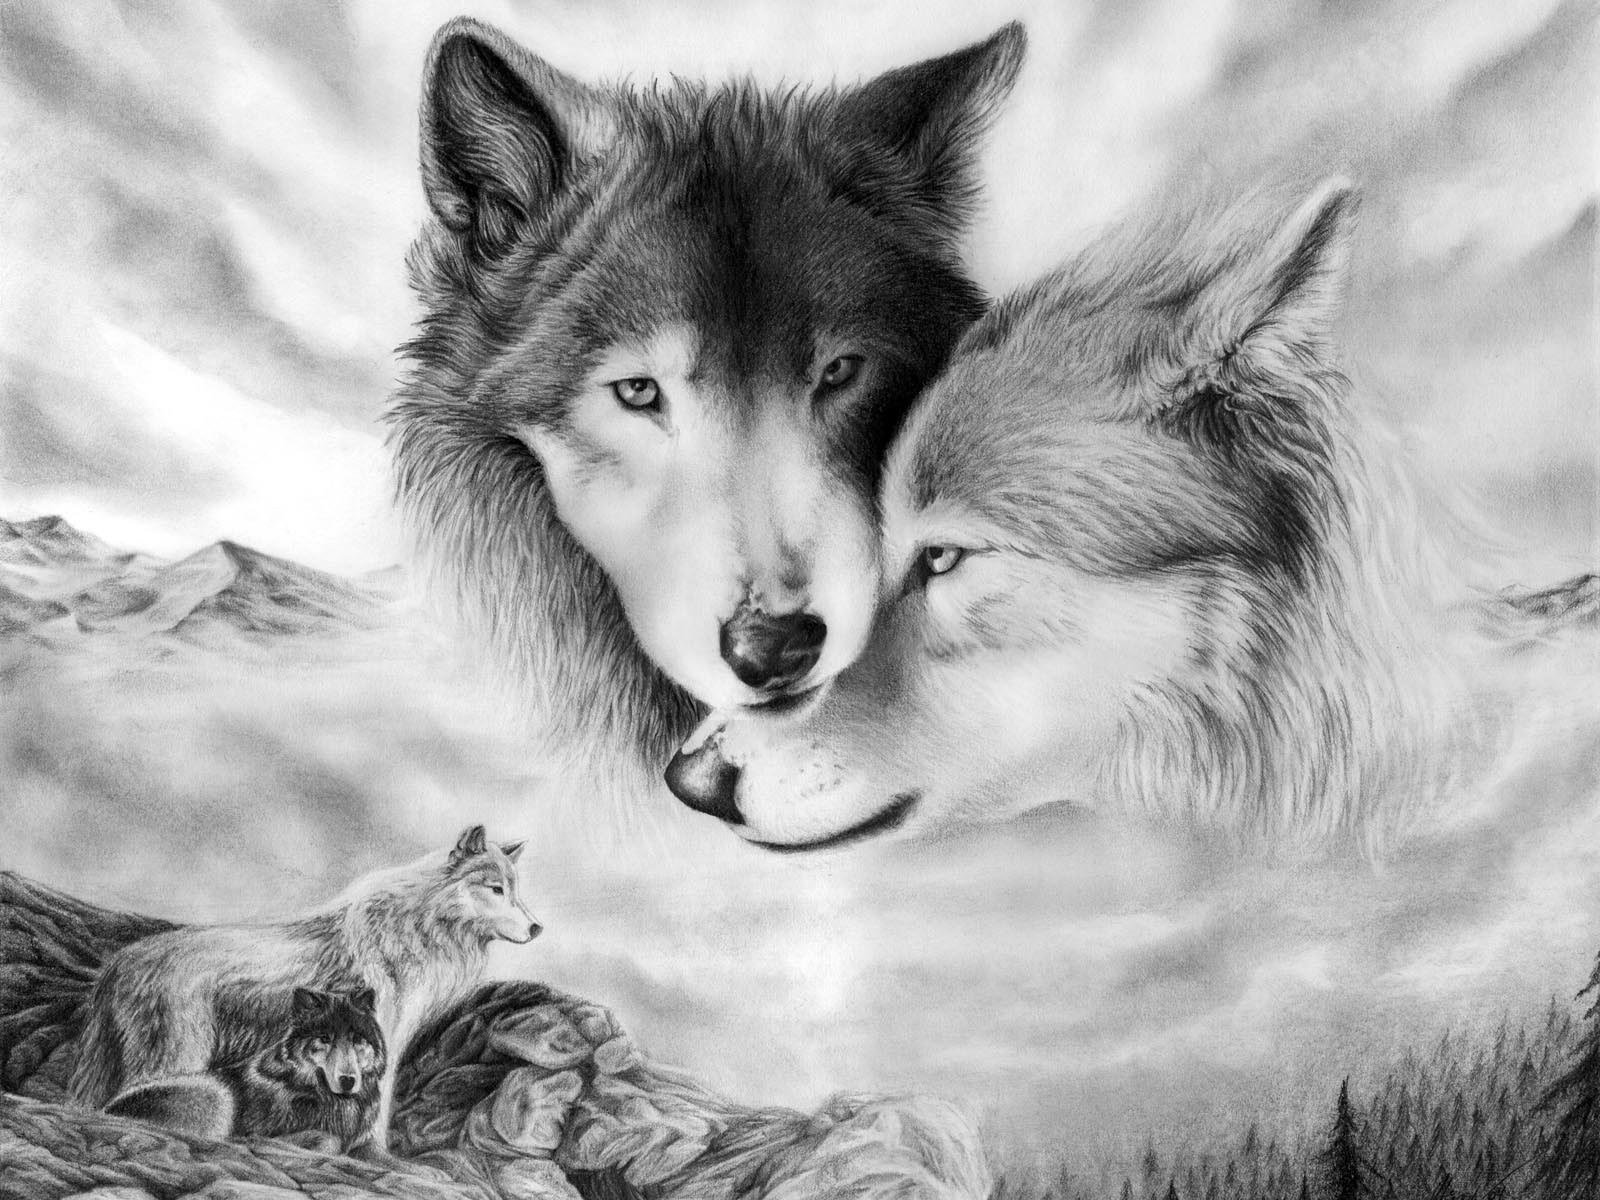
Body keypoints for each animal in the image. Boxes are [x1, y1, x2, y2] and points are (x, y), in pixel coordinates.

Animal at [102, 985, 386, 1153]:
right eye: (325, 1038)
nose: (348, 1080)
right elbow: (329, 1140)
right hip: (217, 1094)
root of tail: (106, 1109)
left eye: (357, 1039)